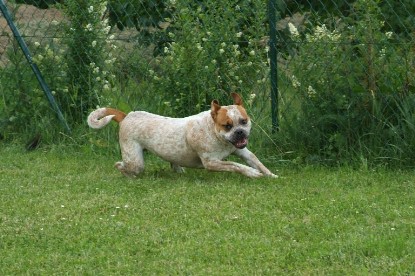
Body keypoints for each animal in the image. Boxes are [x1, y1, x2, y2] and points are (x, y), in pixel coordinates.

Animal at [87, 92, 276, 178]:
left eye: (244, 121)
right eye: (227, 125)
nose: (239, 132)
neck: (214, 132)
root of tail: (126, 116)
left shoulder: (242, 151)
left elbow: (257, 162)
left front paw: (271, 176)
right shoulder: (211, 162)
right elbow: (237, 166)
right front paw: (252, 173)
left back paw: (178, 169)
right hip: (135, 161)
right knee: (123, 166)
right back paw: (126, 172)